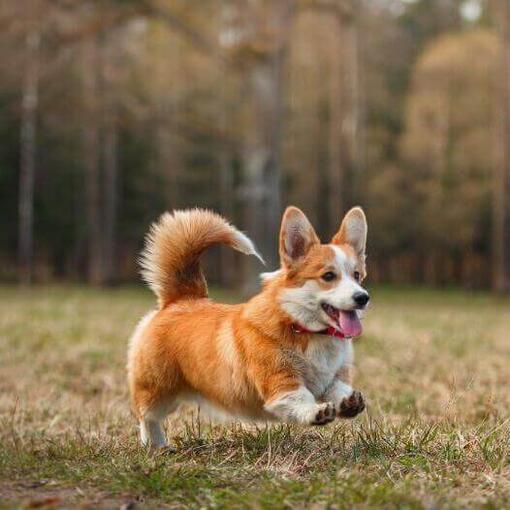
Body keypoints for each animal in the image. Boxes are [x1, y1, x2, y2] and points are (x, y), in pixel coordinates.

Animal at [126, 206, 368, 446]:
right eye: (328, 276)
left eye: (357, 275)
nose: (363, 297)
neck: (304, 327)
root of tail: (180, 299)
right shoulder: (280, 382)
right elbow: (300, 397)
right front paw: (314, 411)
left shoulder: (333, 378)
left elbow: (338, 388)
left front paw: (349, 402)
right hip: (157, 389)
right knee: (146, 415)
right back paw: (155, 444)